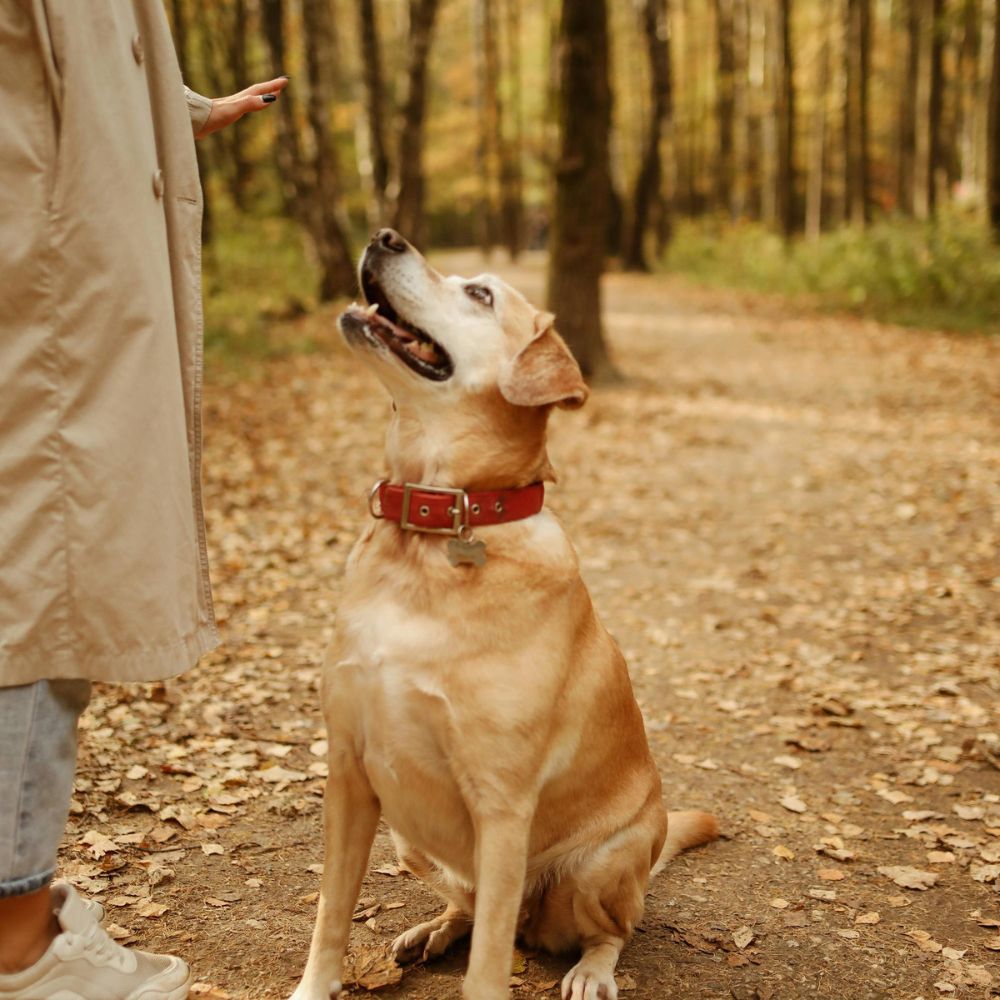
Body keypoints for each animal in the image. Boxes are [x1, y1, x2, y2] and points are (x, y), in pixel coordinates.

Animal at [290, 229, 720, 1000]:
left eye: (481, 294)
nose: (384, 235)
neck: (430, 532)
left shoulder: (501, 805)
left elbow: (488, 965)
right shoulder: (348, 773)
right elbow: (331, 913)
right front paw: (315, 987)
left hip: (600, 864)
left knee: (608, 930)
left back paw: (590, 969)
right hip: (408, 837)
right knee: (466, 906)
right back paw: (432, 931)